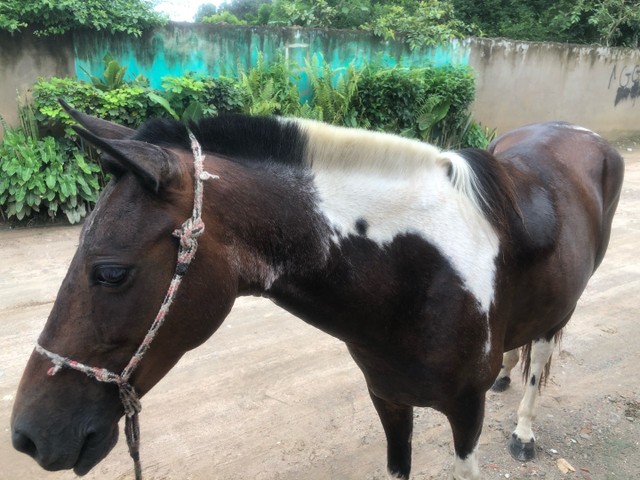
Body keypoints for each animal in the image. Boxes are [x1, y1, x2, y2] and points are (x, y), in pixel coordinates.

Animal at [8, 102, 620, 480]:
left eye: (110, 273)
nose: (28, 437)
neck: (419, 278)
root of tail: (583, 134)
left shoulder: (464, 417)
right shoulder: (388, 399)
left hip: (562, 310)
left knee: (541, 355)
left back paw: (524, 429)